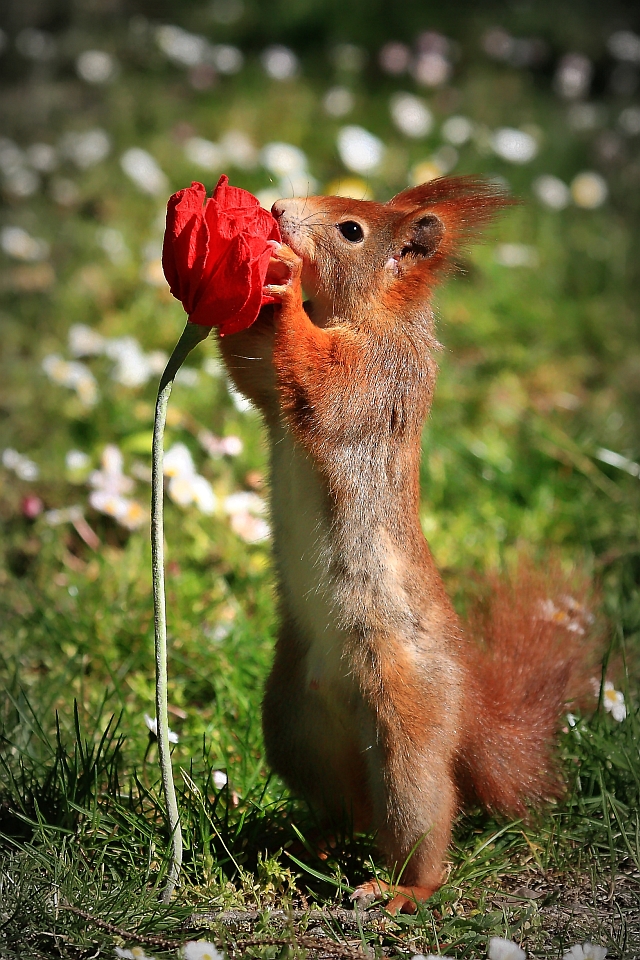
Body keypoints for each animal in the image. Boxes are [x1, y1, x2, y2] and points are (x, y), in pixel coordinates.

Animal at [219, 176, 600, 912]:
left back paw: (402, 891)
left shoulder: (381, 376)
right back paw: (314, 847)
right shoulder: (274, 390)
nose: (278, 210)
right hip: (293, 723)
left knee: (419, 814)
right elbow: (255, 372)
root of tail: (468, 706)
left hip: (407, 723)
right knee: (348, 806)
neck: (364, 315)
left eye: (352, 231)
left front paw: (282, 282)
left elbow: (326, 384)